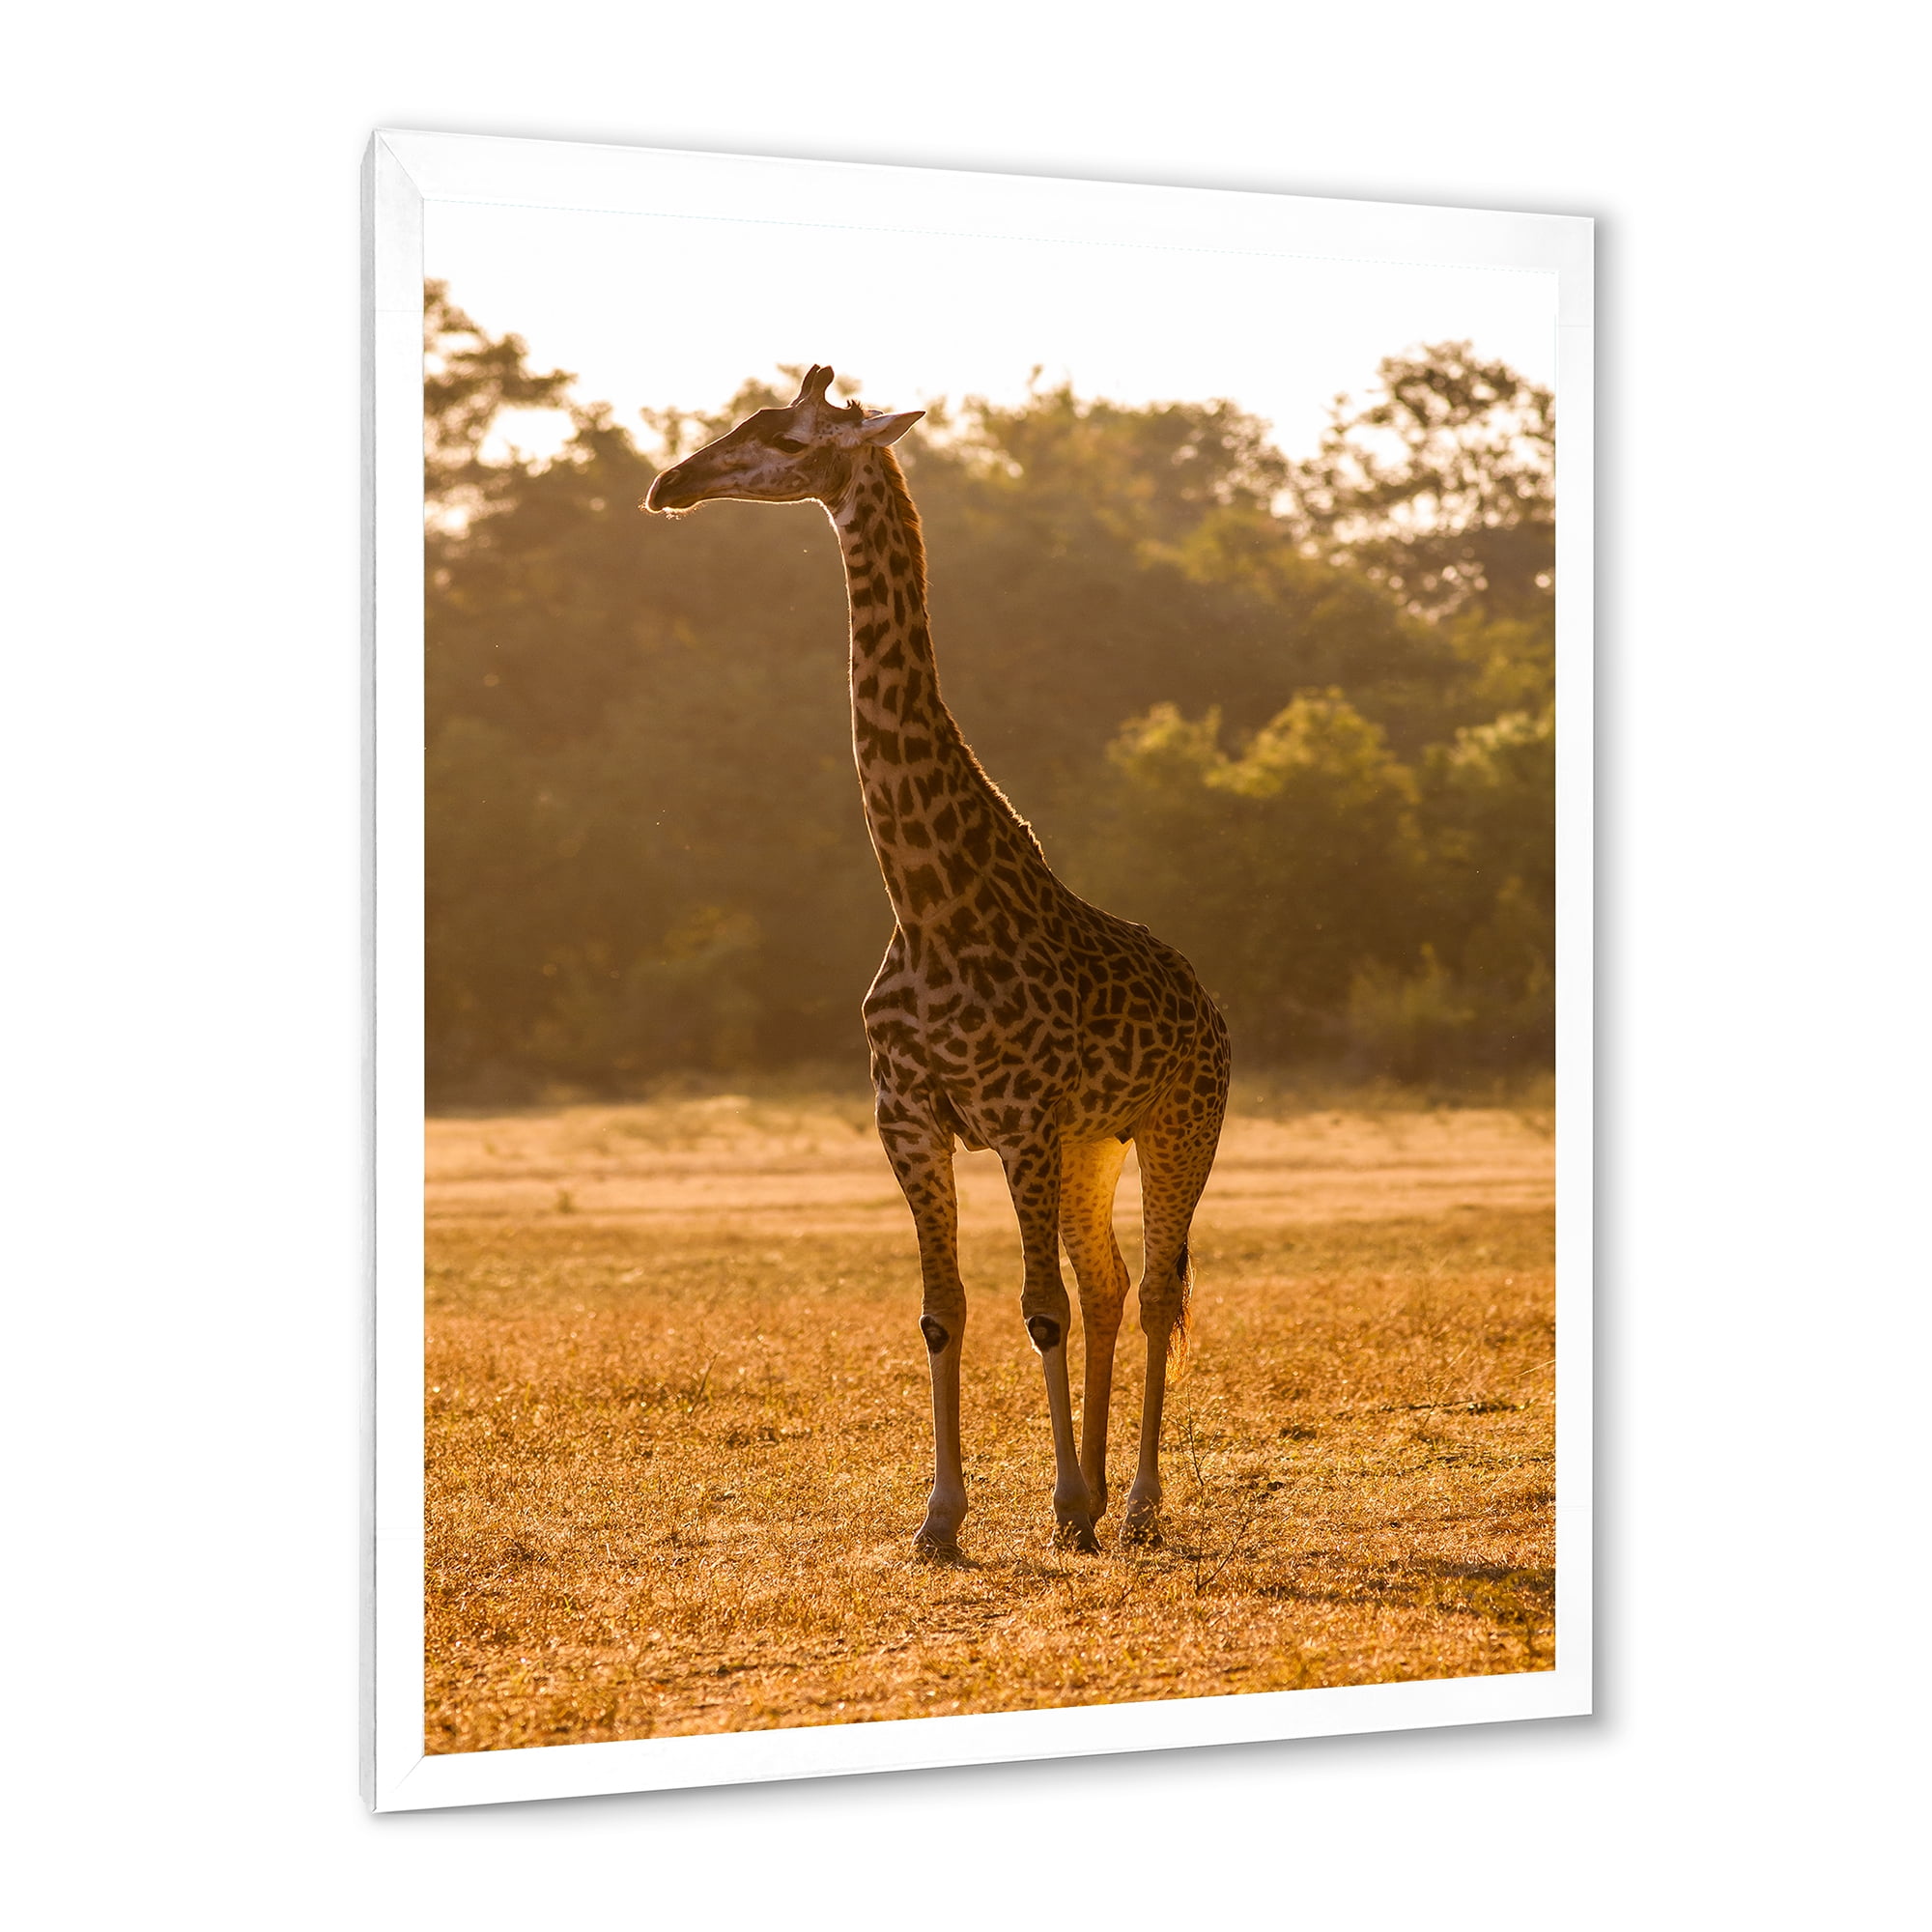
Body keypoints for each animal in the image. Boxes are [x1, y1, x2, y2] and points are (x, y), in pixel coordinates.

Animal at [644, 366, 1230, 1555]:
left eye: (786, 437)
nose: (669, 483)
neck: (925, 901)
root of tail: (1211, 1005)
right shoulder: (910, 1121)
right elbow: (941, 1309)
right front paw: (944, 1519)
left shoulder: (1016, 1118)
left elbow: (1036, 1309)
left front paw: (1059, 1501)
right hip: (1092, 1144)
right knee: (1108, 1285)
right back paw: (1100, 1488)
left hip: (1177, 1123)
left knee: (1151, 1290)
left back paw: (1133, 1504)